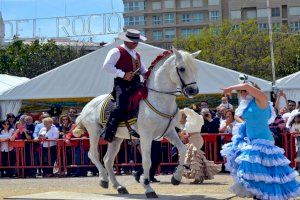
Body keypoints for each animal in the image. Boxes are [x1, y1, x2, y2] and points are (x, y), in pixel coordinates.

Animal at [73, 47, 199, 198]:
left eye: (195, 68)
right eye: (181, 68)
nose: (193, 90)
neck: (158, 99)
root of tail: (87, 106)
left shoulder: (169, 132)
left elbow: (182, 149)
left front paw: (176, 177)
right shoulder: (146, 136)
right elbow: (147, 161)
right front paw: (148, 188)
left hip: (116, 138)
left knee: (108, 160)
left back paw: (119, 186)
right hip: (94, 132)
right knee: (93, 155)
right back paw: (103, 179)